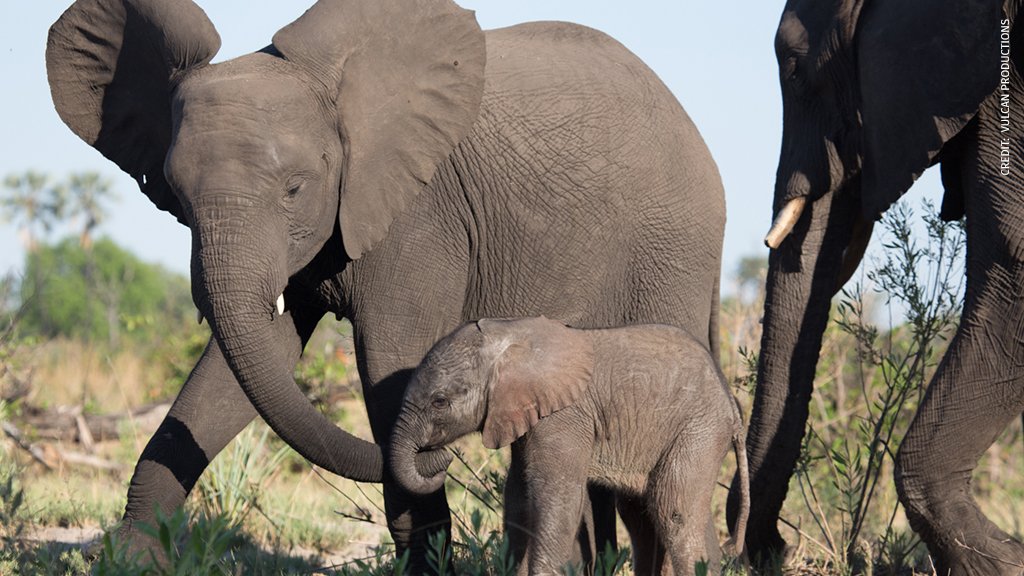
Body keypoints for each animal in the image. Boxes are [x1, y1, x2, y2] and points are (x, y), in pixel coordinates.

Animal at [389, 317, 749, 576]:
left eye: (439, 402)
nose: (437, 457)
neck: (507, 334)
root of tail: (731, 406)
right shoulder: (527, 416)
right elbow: (519, 499)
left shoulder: (563, 416)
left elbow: (557, 500)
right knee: (645, 513)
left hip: (699, 428)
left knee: (673, 510)